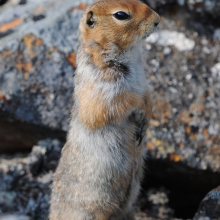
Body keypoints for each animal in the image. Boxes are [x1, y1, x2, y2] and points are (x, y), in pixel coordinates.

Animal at [49, 0, 160, 219]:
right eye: (121, 15)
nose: (158, 20)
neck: (130, 56)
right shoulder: (102, 86)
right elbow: (119, 102)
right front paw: (140, 111)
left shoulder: (144, 81)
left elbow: (148, 95)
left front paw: (146, 117)